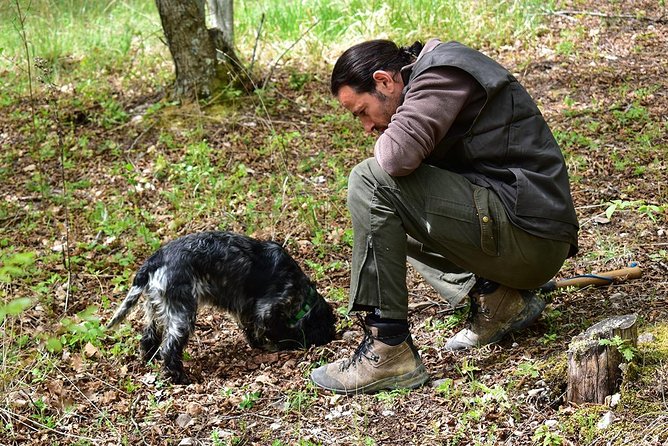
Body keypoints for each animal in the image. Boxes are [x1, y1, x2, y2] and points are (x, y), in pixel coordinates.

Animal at [107, 230, 336, 384]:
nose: (332, 337)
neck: (300, 292)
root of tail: (154, 261)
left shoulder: (246, 309)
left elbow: (251, 330)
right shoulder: (267, 309)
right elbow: (272, 330)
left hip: (155, 308)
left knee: (148, 337)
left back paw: (150, 360)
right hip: (182, 314)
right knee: (169, 349)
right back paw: (181, 377)